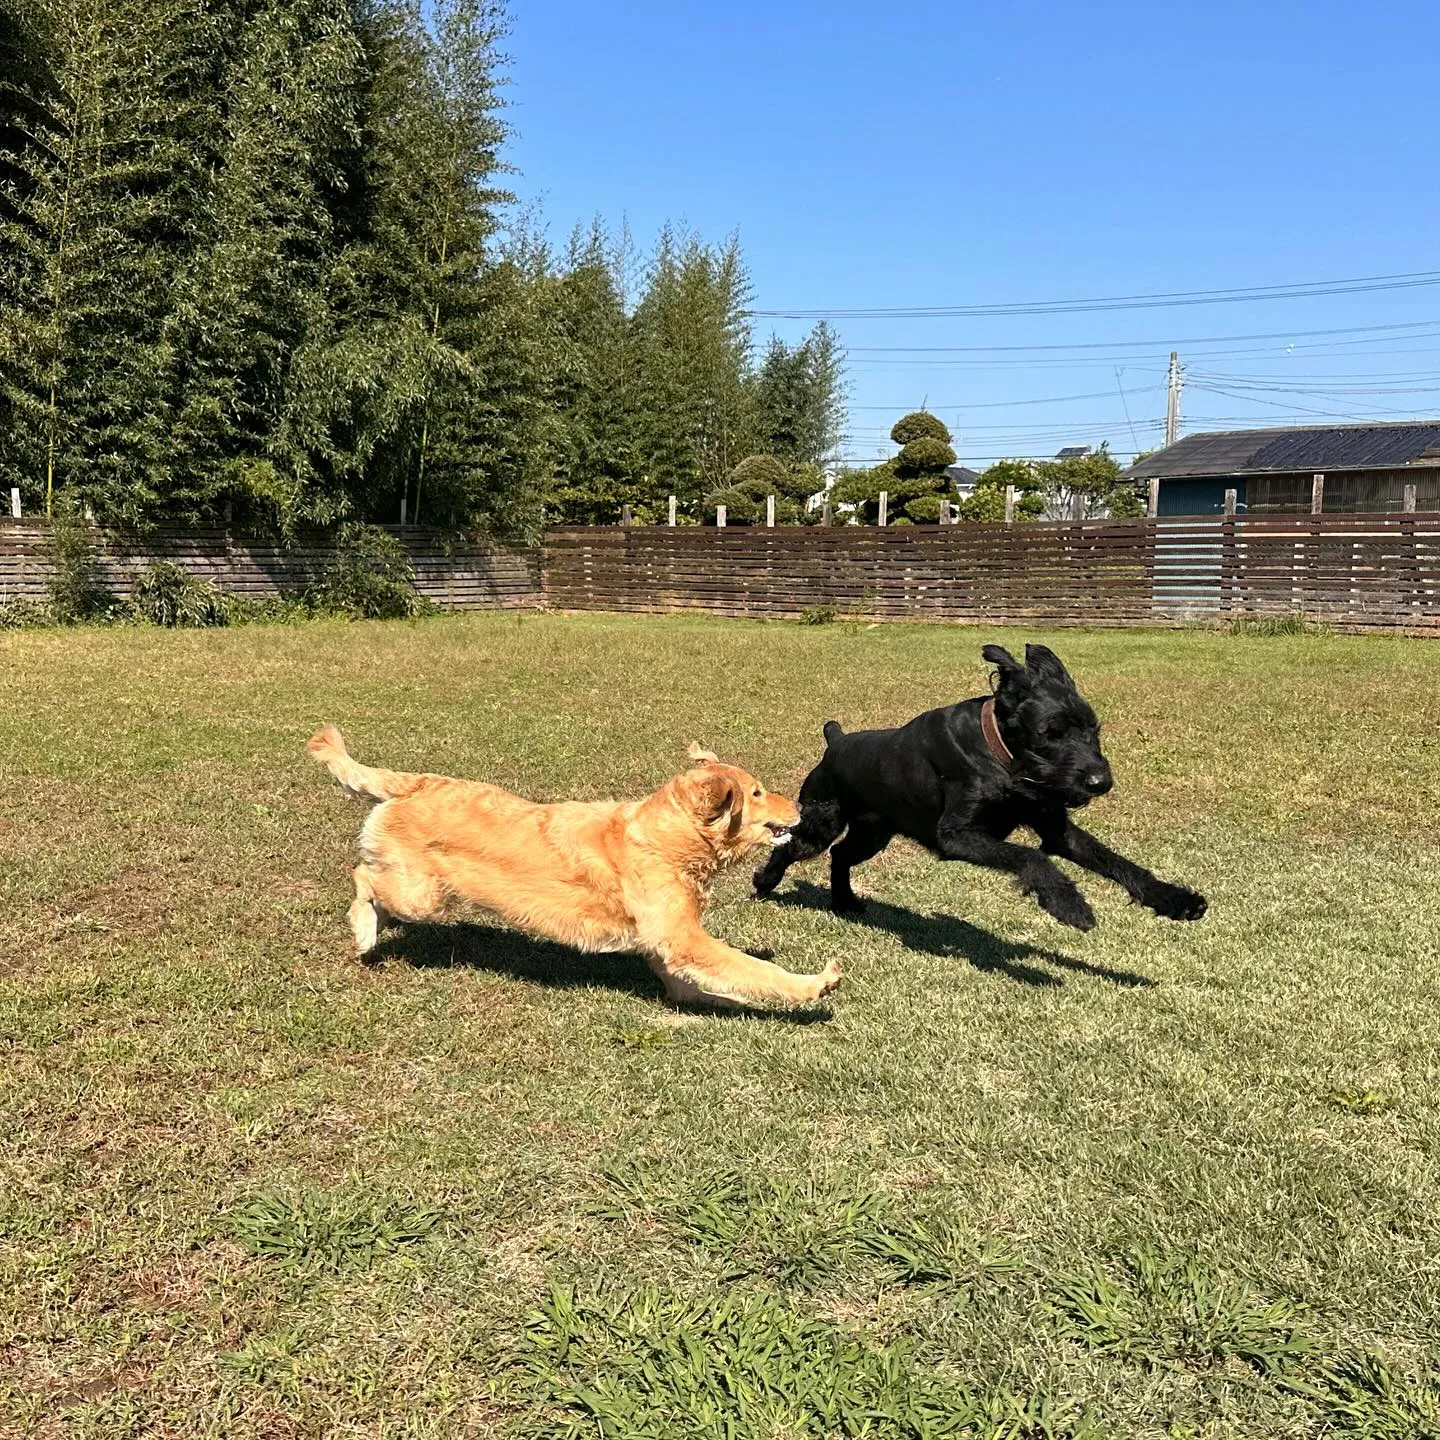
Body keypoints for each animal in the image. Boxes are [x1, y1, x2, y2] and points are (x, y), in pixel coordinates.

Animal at [754, 645, 1203, 933]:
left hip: (873, 833)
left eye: (1093, 729)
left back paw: (845, 902)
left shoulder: (1056, 829)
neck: (1000, 755)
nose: (1100, 782)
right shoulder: (957, 836)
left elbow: (1118, 863)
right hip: (821, 822)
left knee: (841, 855)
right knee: (793, 847)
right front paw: (1068, 904)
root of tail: (836, 741)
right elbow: (1029, 857)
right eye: (1051, 732)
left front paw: (1175, 899)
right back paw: (766, 882)